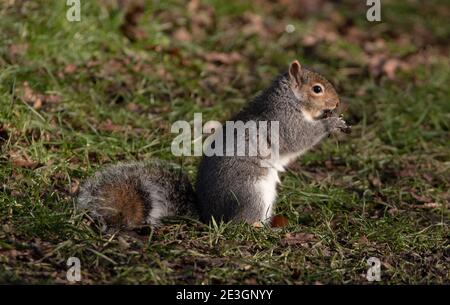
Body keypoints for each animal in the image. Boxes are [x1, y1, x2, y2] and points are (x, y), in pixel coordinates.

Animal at [77, 60, 352, 228]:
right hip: (251, 192)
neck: (290, 100)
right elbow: (299, 137)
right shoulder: (283, 121)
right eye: (317, 89)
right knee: (240, 223)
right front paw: (331, 123)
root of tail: (209, 216)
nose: (338, 103)